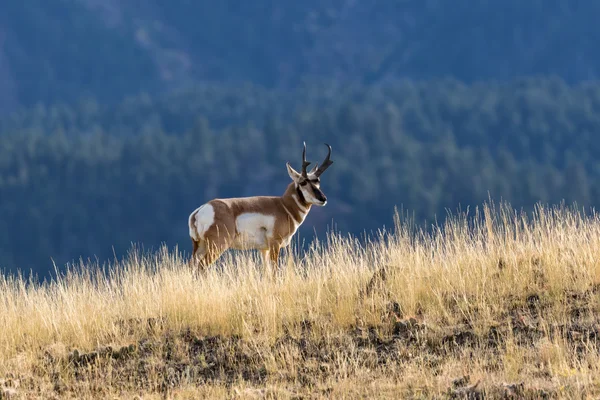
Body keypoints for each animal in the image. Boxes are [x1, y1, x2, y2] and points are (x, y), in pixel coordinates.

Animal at [188, 142, 332, 274]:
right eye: (303, 182)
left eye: (317, 181)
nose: (323, 199)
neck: (283, 206)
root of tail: (200, 211)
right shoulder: (275, 244)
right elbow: (274, 271)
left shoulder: (264, 249)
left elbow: (266, 272)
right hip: (217, 246)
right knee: (201, 266)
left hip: (199, 246)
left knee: (191, 267)